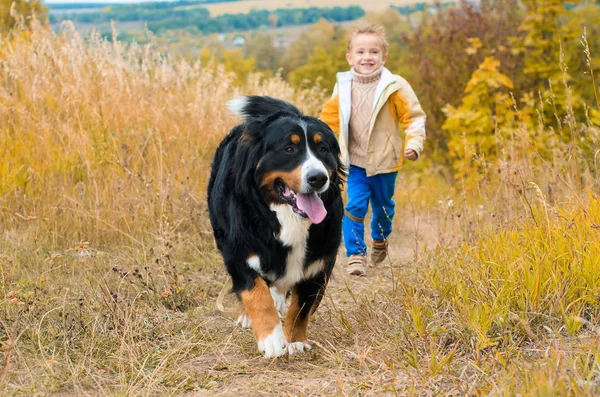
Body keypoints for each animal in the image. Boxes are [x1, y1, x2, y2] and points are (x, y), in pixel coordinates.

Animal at [210, 95, 342, 356]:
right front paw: (270, 337)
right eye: (289, 149)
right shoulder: (239, 252)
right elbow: (256, 294)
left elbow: (302, 307)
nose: (318, 178)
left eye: (323, 149)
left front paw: (295, 340)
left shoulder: (318, 264)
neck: (288, 217)